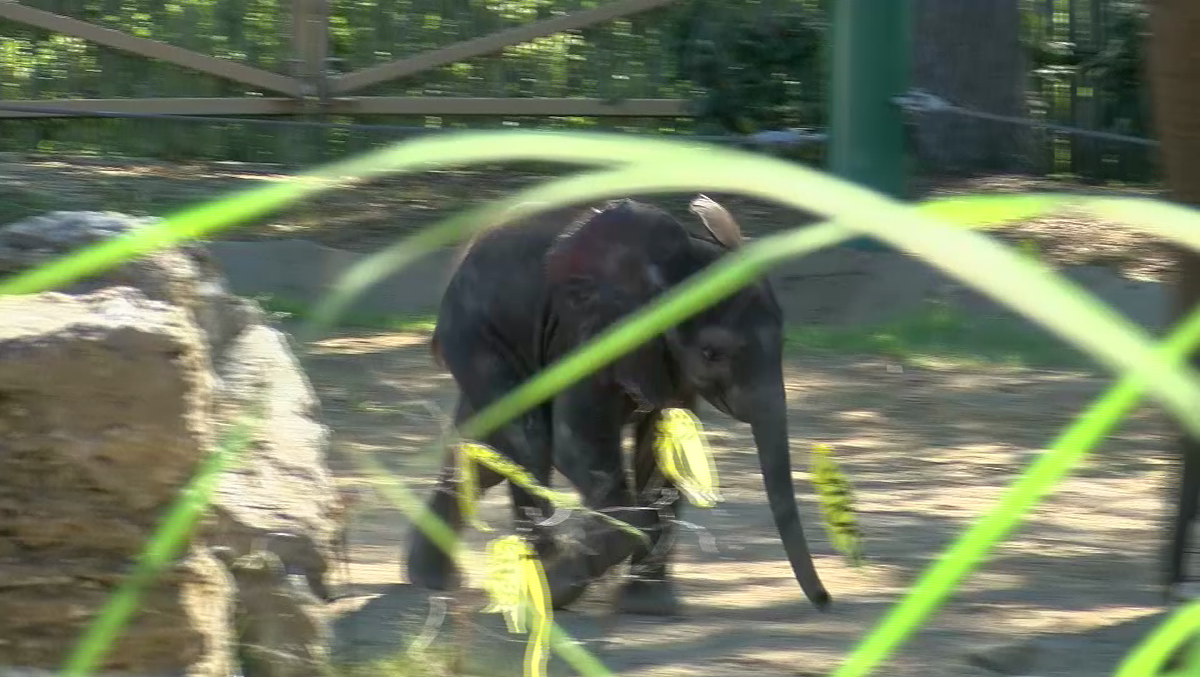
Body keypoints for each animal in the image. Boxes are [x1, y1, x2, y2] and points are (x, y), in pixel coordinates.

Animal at [404, 194, 833, 616]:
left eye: (783, 344)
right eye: (713, 354)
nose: (825, 600)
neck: (676, 269)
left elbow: (666, 448)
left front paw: (649, 606)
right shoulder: (592, 333)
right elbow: (574, 443)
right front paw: (564, 585)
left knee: (483, 451)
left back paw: (433, 579)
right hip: (478, 335)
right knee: (528, 442)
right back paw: (531, 586)